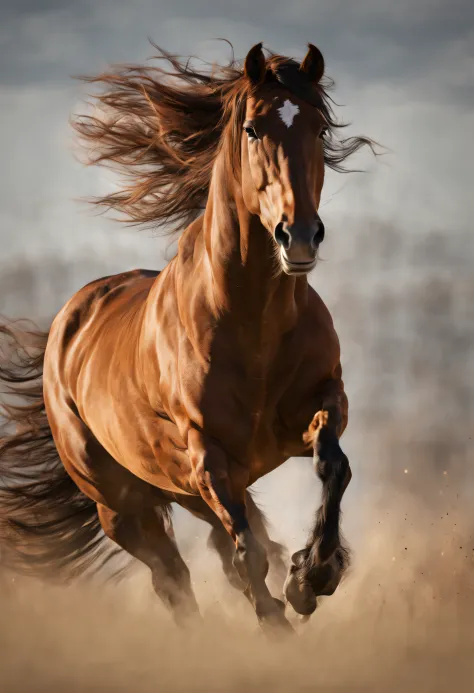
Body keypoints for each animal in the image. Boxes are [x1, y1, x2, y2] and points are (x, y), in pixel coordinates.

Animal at [0, 43, 376, 632]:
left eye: (318, 128)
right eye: (252, 128)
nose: (299, 236)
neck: (252, 323)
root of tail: (66, 326)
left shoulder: (321, 404)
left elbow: (332, 467)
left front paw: (313, 576)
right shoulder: (206, 455)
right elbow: (247, 552)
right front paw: (286, 604)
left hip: (187, 491)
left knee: (223, 550)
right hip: (124, 505)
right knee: (173, 576)